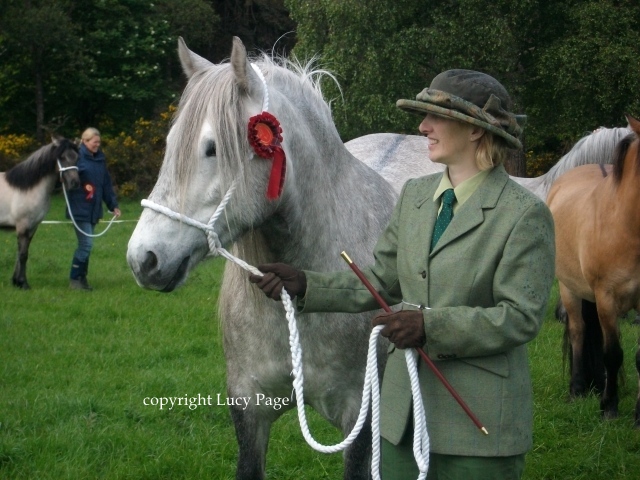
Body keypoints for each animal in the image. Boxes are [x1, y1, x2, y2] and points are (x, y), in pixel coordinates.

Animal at [0, 135, 80, 289]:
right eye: (62, 157)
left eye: (77, 158)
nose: (75, 183)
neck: (28, 187)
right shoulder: (23, 225)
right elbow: (23, 254)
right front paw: (23, 283)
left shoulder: (32, 227)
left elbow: (21, 253)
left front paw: (16, 281)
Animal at [546, 114, 640, 426]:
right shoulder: (607, 297)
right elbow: (613, 353)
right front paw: (609, 408)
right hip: (570, 289)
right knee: (579, 331)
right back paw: (577, 389)